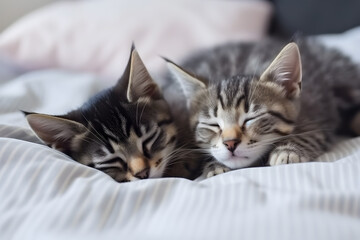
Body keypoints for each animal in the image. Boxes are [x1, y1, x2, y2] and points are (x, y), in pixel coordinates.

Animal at [164, 37, 360, 176]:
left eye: (251, 118)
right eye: (213, 124)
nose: (230, 143)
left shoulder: (317, 114)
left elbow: (309, 135)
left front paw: (287, 151)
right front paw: (214, 165)